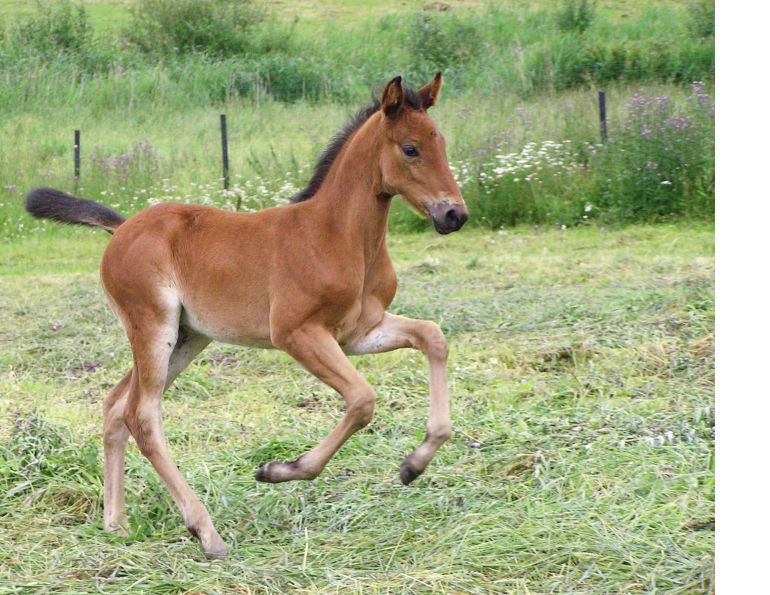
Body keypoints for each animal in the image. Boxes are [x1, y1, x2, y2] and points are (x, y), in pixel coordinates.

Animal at [25, 73, 468, 559]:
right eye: (410, 149)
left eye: (442, 142)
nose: (454, 214)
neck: (337, 235)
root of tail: (122, 228)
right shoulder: (296, 333)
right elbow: (362, 399)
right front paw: (279, 469)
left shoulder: (359, 331)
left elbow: (433, 337)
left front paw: (413, 464)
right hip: (153, 327)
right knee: (142, 416)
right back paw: (206, 532)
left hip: (187, 337)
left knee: (116, 405)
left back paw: (116, 522)